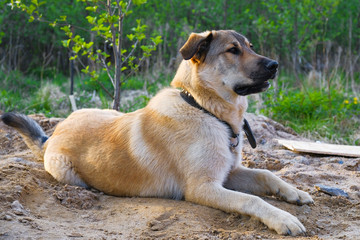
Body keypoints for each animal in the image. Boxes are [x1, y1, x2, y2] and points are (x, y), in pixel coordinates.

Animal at [1, 30, 312, 236]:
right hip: (66, 173)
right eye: (232, 50)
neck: (205, 109)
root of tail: (52, 135)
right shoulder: (203, 187)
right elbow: (251, 199)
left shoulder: (229, 172)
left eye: (250, 46)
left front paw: (295, 193)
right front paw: (283, 219)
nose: (274, 65)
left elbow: (266, 174)